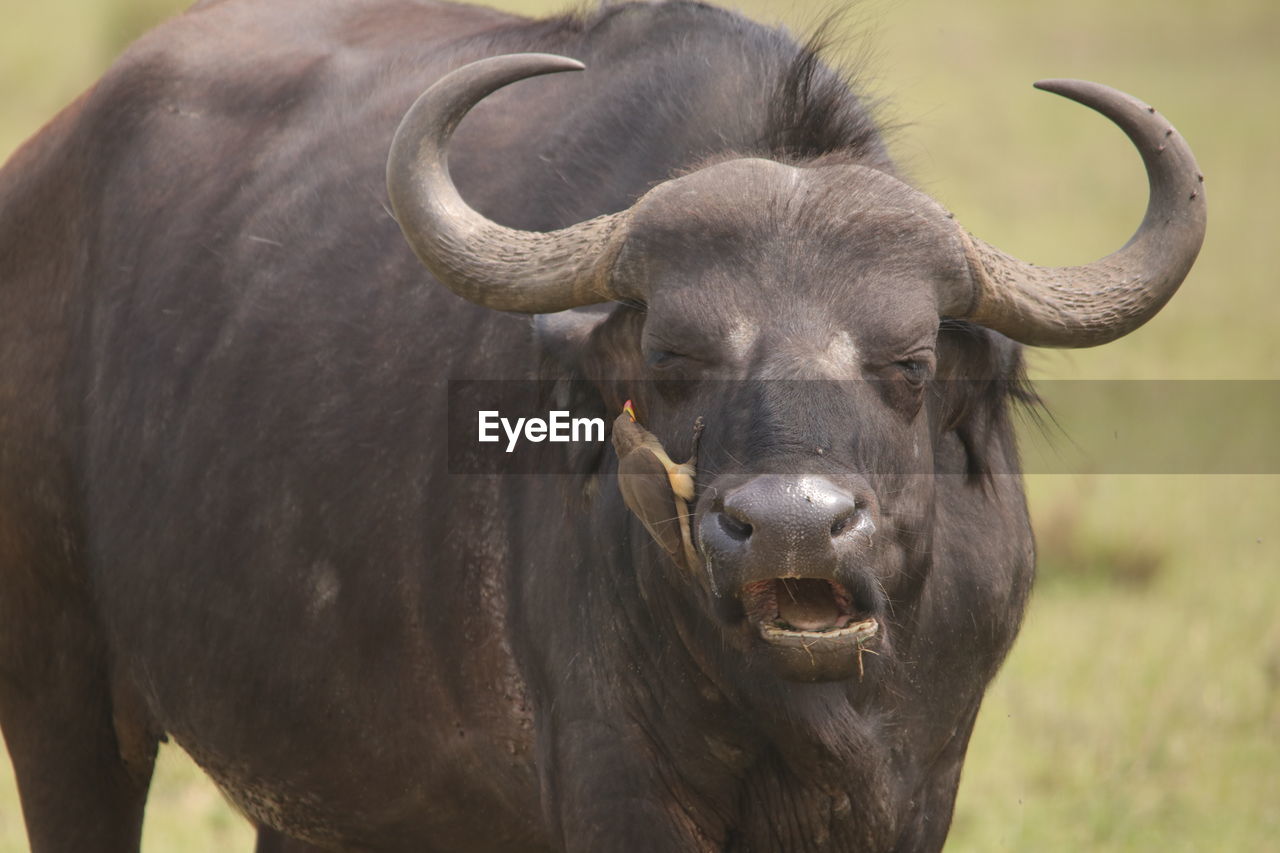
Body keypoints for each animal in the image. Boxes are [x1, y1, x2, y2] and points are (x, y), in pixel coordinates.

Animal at [0, 0, 1203, 845]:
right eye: (673, 358)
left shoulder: (922, 784)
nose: (790, 528)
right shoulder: (616, 781)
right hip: (59, 695)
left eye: (906, 363)